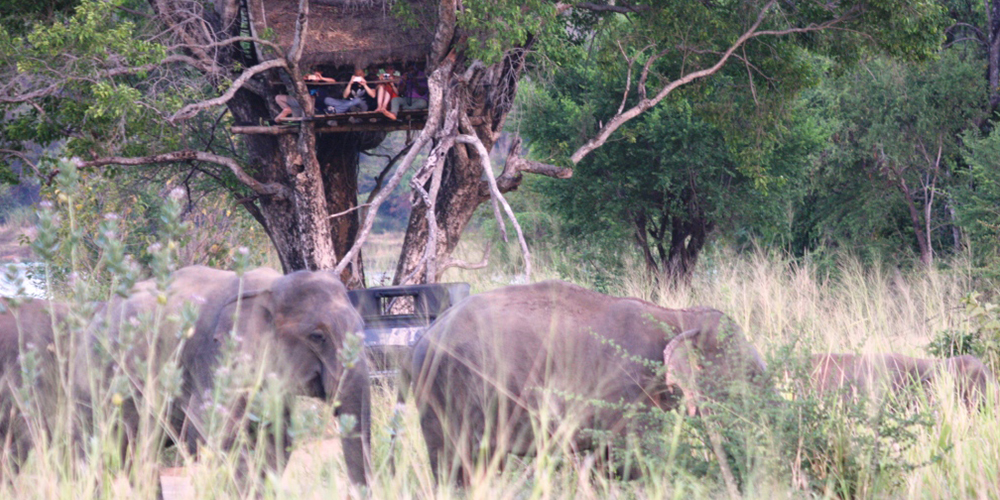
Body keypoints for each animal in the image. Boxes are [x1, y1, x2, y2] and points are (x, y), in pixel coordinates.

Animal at [410, 280, 767, 485]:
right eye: (747, 372)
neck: (675, 315)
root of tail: (425, 336)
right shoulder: (626, 388)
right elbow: (635, 460)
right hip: (450, 393)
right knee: (455, 466)